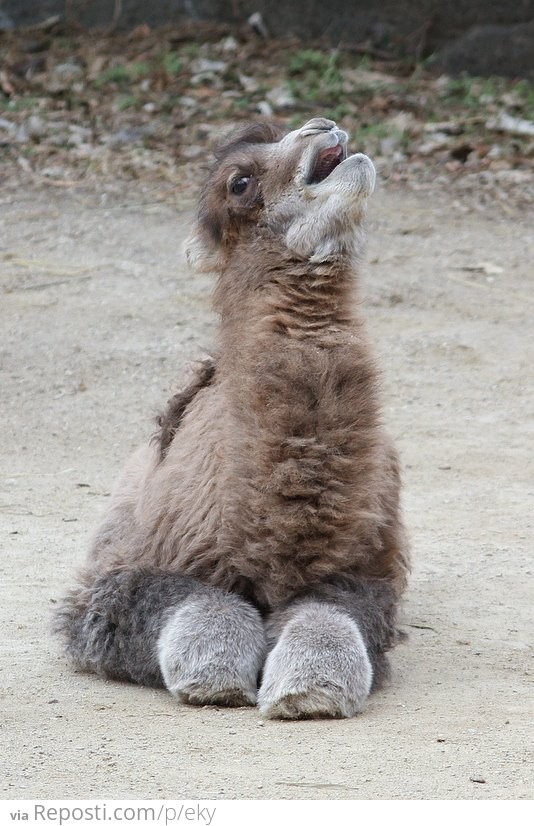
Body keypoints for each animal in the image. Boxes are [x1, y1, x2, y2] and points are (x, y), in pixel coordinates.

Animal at [57, 116, 410, 716]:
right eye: (239, 182)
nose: (321, 126)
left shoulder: (363, 573)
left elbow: (337, 612)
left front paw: (310, 690)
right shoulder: (106, 585)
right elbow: (175, 599)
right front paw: (214, 678)